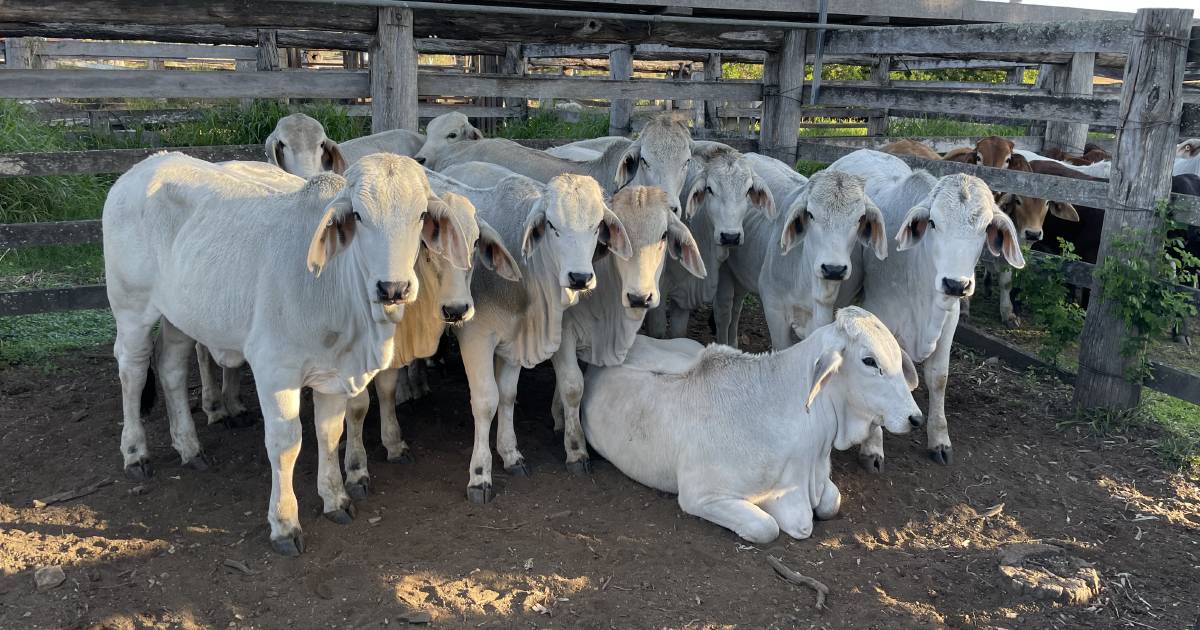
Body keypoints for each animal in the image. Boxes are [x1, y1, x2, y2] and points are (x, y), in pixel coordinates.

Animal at [103, 152, 470, 554]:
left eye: (420, 214)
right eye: (358, 215)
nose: (393, 288)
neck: (336, 289)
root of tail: (143, 167)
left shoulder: (333, 374)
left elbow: (330, 433)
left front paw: (335, 499)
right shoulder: (275, 372)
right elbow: (286, 444)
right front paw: (284, 523)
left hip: (179, 316)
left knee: (170, 368)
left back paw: (189, 447)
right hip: (132, 308)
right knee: (133, 371)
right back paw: (135, 452)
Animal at [830, 150, 1027, 468]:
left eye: (986, 227)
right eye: (933, 222)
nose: (956, 284)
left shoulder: (950, 321)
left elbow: (938, 378)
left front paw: (940, 440)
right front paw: (873, 446)